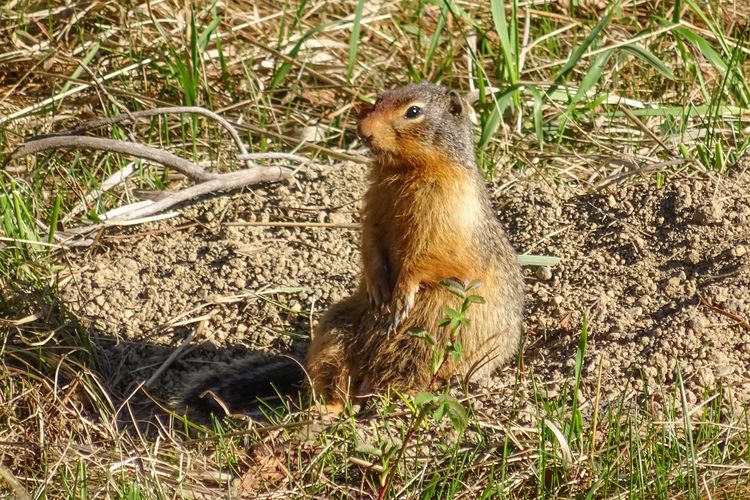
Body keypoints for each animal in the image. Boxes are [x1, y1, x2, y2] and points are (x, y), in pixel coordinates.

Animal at [179, 84, 524, 420]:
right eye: (379, 99)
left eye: (413, 111)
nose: (363, 131)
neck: (406, 172)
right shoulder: (374, 204)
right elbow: (369, 240)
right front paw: (377, 286)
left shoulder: (446, 208)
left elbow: (427, 255)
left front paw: (400, 296)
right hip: (334, 328)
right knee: (336, 382)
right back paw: (326, 409)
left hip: (429, 336)